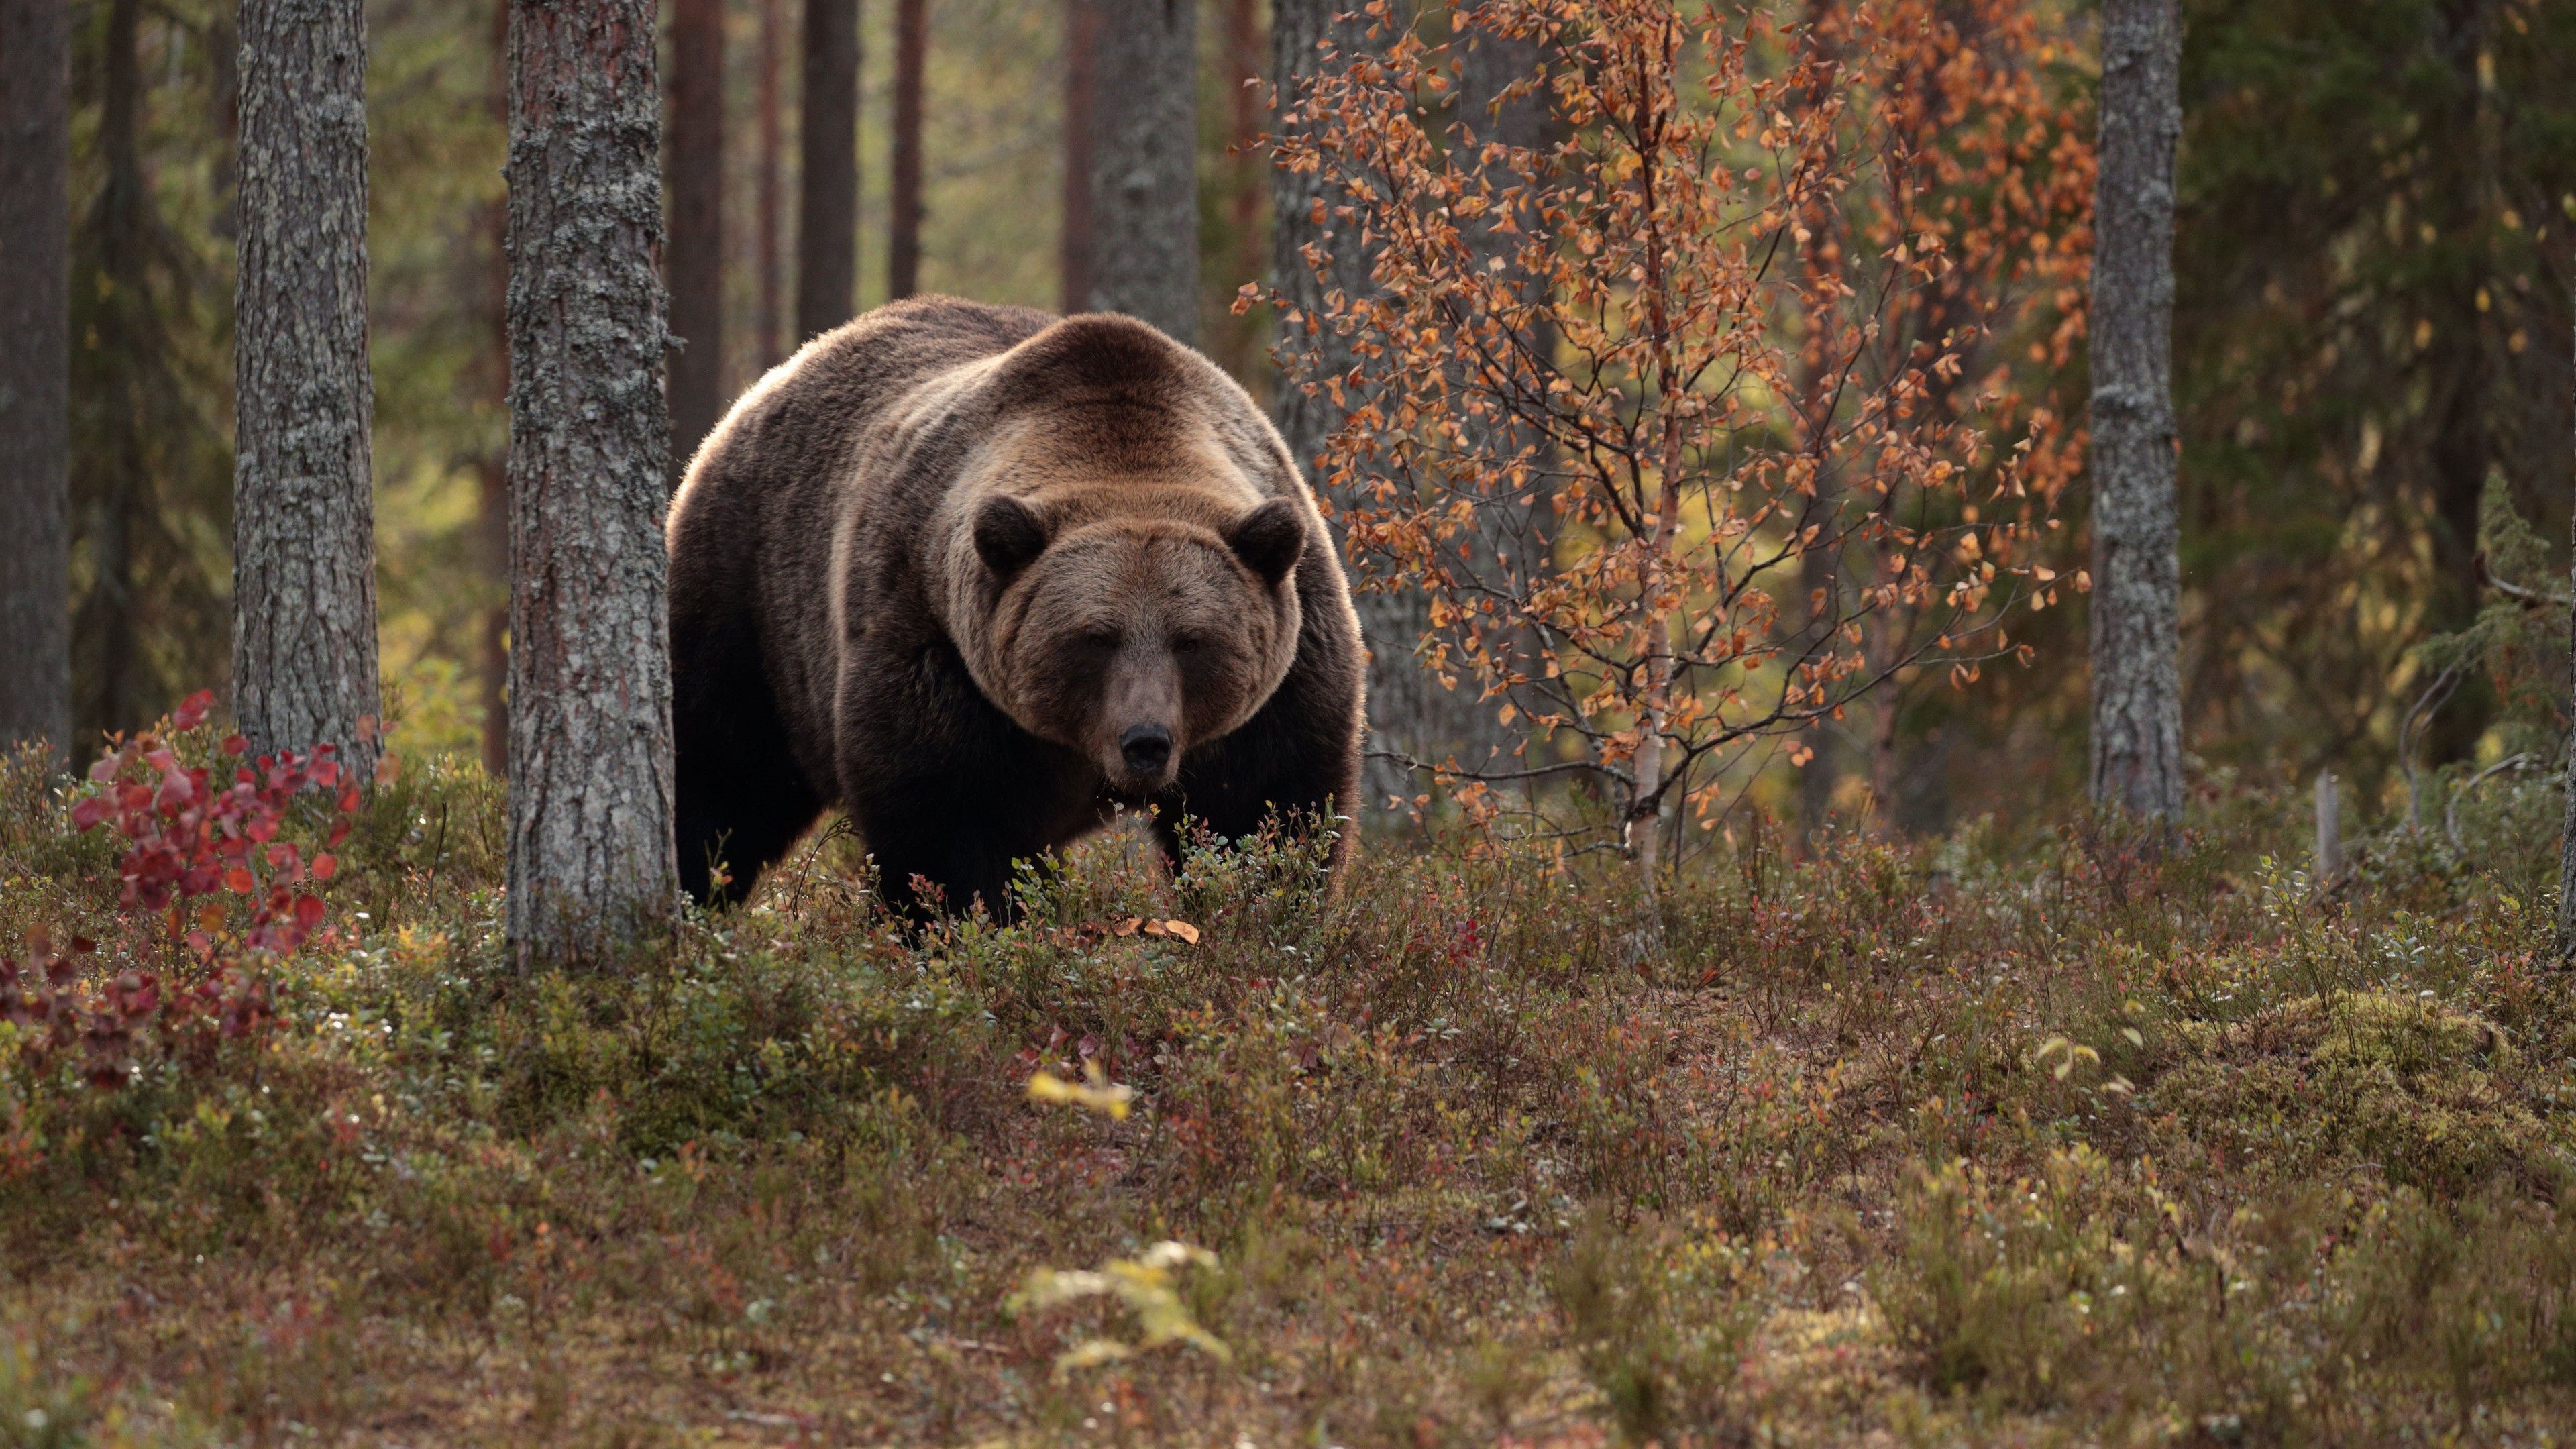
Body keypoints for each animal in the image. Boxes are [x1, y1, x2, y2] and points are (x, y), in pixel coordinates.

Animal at [665, 295, 1366, 916]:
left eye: (1192, 639)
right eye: (1095, 636)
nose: (1145, 742)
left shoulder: (1287, 672)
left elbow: (1266, 812)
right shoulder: (933, 638)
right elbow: (949, 825)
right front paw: (963, 924)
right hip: (754, 598)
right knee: (719, 769)